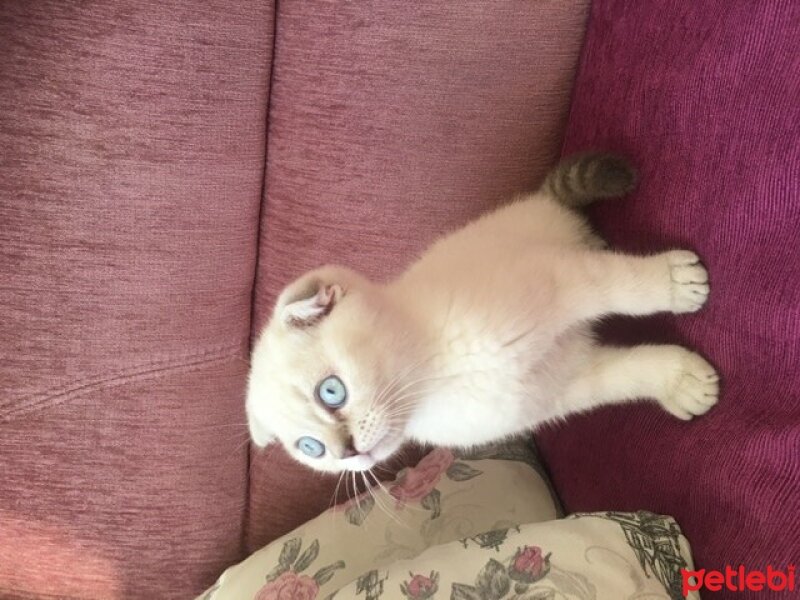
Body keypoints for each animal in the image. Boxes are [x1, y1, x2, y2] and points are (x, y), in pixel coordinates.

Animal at [244, 155, 720, 474]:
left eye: (331, 392)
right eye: (311, 448)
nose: (348, 454)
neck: (438, 374)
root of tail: (535, 201)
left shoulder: (558, 277)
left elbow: (619, 284)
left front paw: (672, 284)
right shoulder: (559, 387)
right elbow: (623, 377)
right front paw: (681, 381)